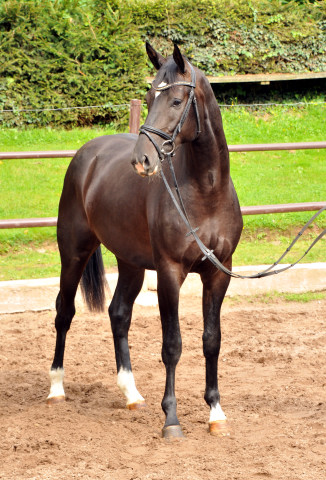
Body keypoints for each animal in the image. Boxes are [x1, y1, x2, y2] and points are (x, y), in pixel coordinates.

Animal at [47, 42, 243, 438]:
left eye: (176, 100)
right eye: (151, 96)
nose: (143, 159)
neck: (205, 192)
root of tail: (87, 155)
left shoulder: (219, 273)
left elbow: (211, 341)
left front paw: (216, 413)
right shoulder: (169, 272)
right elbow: (172, 345)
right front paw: (172, 420)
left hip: (131, 264)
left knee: (118, 314)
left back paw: (132, 394)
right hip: (73, 253)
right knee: (64, 312)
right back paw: (56, 389)